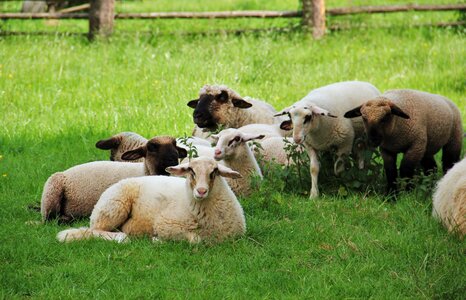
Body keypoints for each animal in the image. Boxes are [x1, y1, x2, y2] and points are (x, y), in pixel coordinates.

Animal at [39, 136, 186, 223]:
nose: (173, 159)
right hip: (51, 191)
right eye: (151, 148)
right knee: (50, 218)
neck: (144, 172)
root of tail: (65, 172)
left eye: (175, 144)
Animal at [56, 157, 246, 244]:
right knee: (95, 230)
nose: (201, 191)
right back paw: (121, 237)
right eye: (191, 171)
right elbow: (195, 240)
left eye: (214, 172)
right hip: (113, 207)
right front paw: (157, 240)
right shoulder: (165, 224)